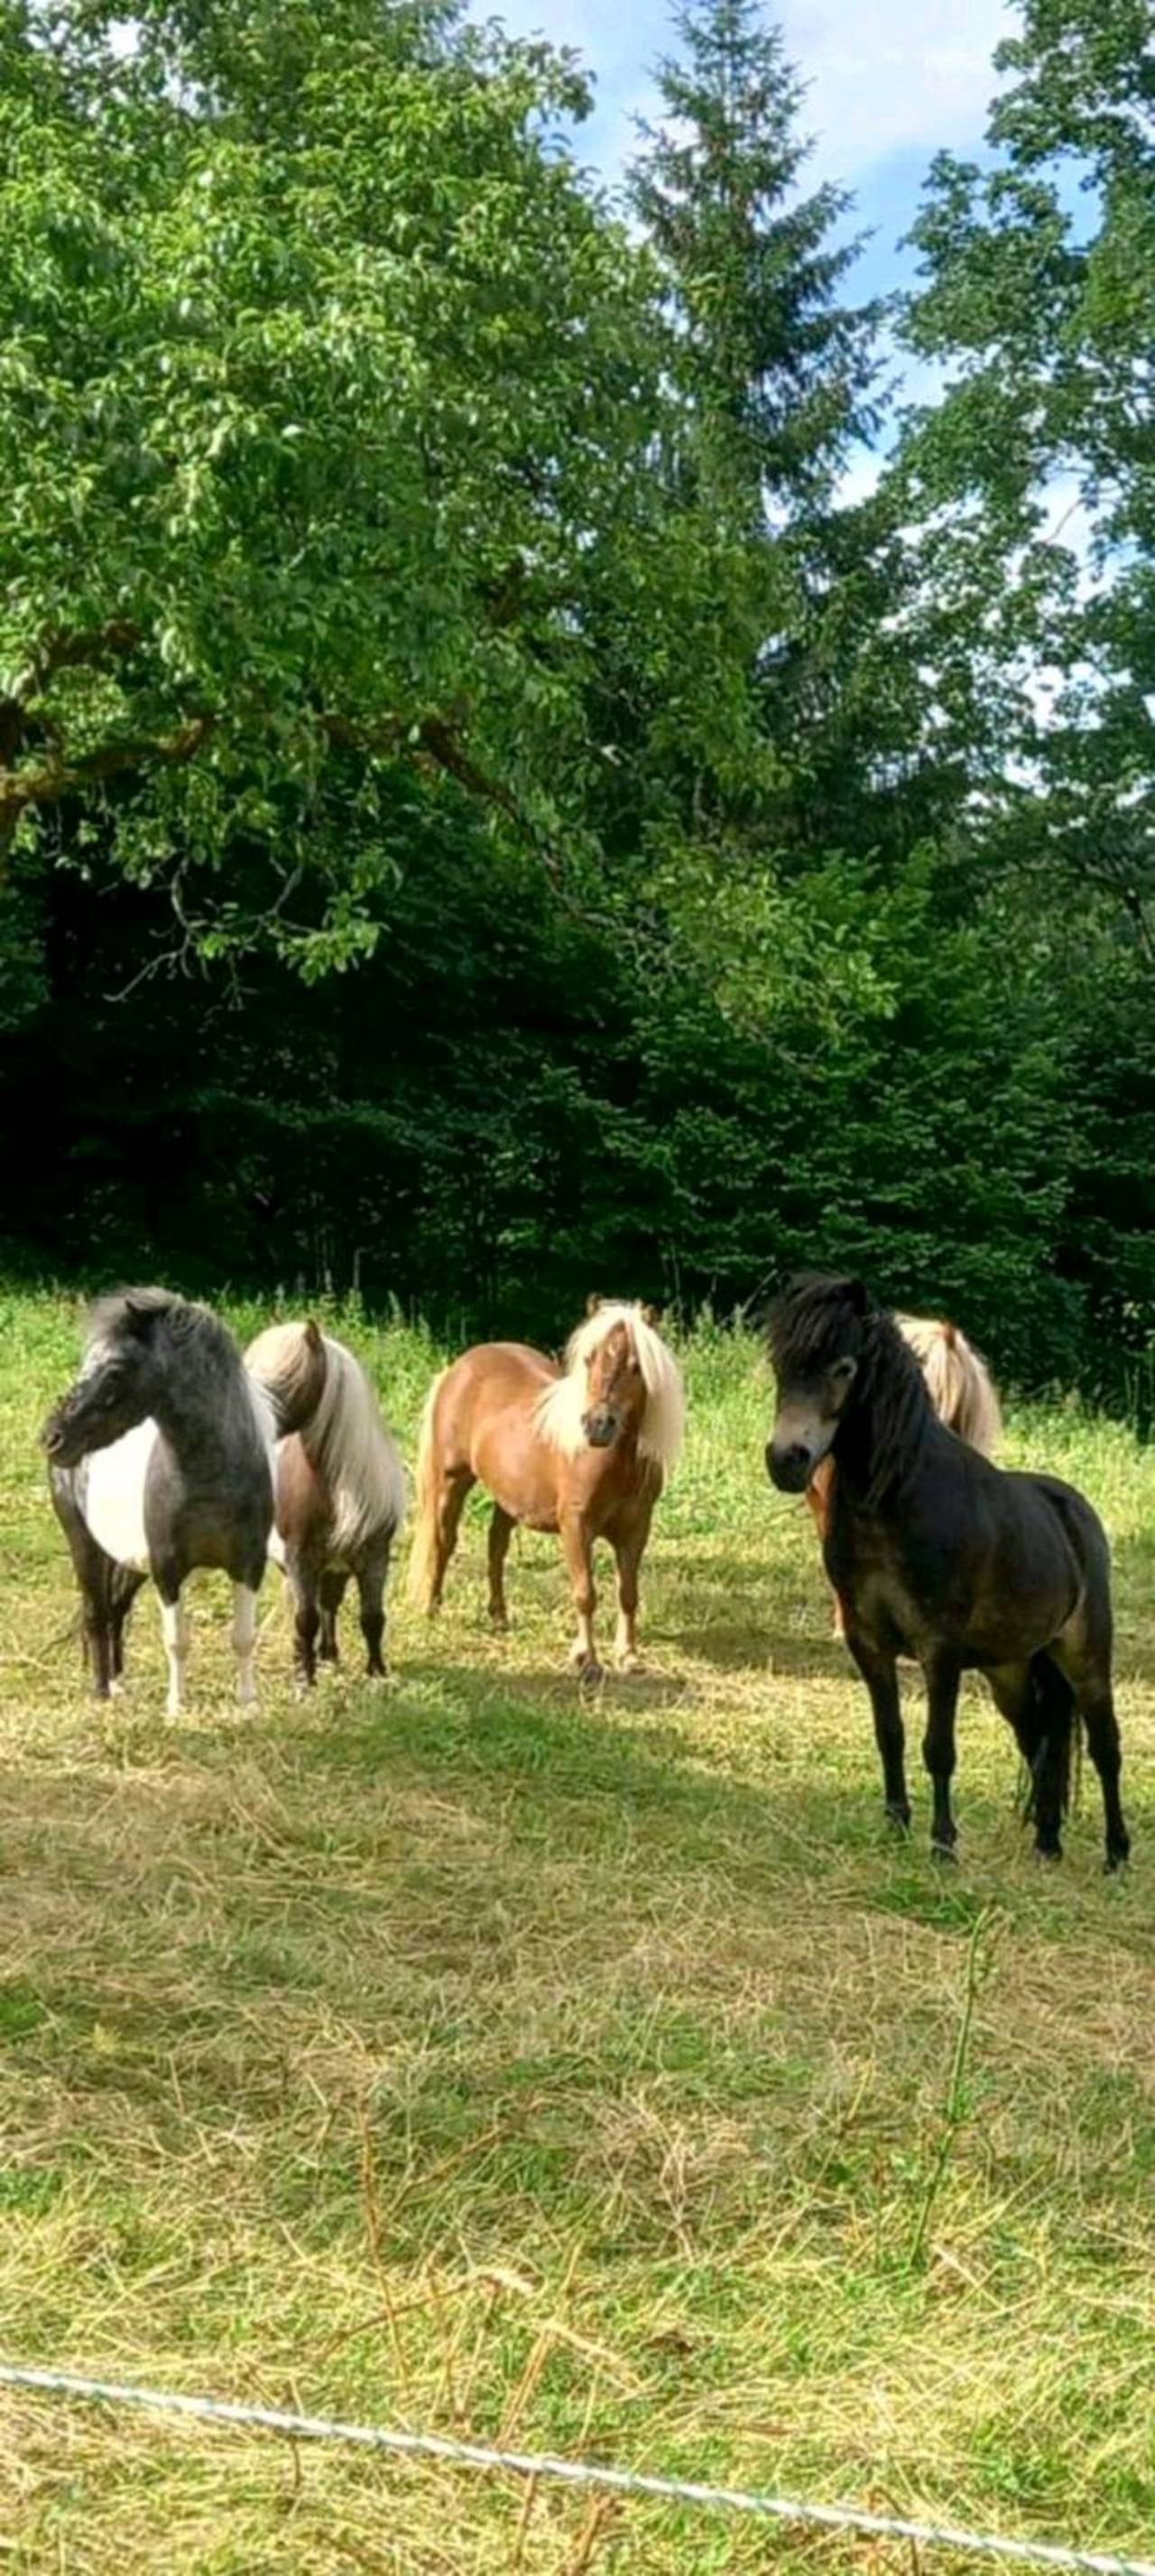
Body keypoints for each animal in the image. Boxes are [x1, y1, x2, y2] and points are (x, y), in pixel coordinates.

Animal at [39, 1288, 301, 1710]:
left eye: (115, 1371)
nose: (52, 1438)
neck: (209, 1479)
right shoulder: (168, 1567)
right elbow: (177, 1642)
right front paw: (177, 1707)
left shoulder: (248, 1564)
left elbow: (243, 1637)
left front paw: (248, 1703)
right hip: (84, 1544)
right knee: (96, 1613)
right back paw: (101, 1692)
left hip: (129, 1559)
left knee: (115, 1610)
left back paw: (117, 1683)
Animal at [244, 1329, 407, 1689]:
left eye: (288, 1376)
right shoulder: (299, 1557)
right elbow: (305, 1619)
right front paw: (304, 1677)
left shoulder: (373, 1555)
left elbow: (372, 1617)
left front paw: (377, 1672)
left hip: (336, 1566)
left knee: (328, 1604)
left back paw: (328, 1653)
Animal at [404, 1297, 680, 1679]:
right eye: (589, 1359)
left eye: (637, 1366)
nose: (597, 1425)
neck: (612, 1461)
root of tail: (458, 1368)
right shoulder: (576, 1525)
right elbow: (585, 1593)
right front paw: (587, 1660)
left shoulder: (637, 1528)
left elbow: (628, 1593)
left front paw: (628, 1656)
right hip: (451, 1481)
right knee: (443, 1542)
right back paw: (432, 1608)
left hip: (507, 1497)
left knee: (496, 1548)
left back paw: (500, 1617)